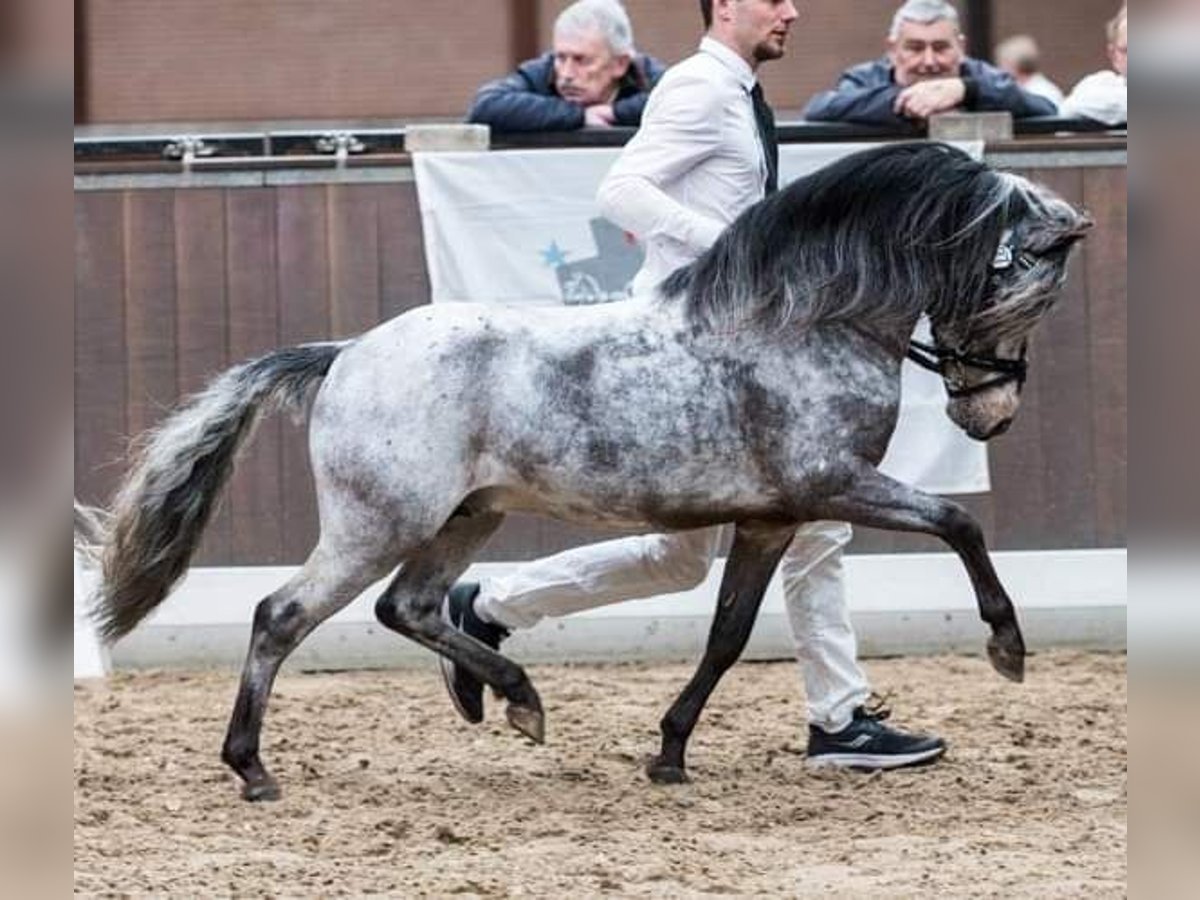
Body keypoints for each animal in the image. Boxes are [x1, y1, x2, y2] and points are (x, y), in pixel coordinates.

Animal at [84, 144, 1094, 801]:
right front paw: (1007, 649)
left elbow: (728, 637)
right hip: (379, 523)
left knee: (412, 607)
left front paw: (671, 754)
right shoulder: (833, 483)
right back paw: (254, 768)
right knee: (282, 615)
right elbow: (961, 524)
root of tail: (344, 354)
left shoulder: (772, 517)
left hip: (468, 518)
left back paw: (515, 698)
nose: (990, 416)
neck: (805, 322)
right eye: (1022, 291)